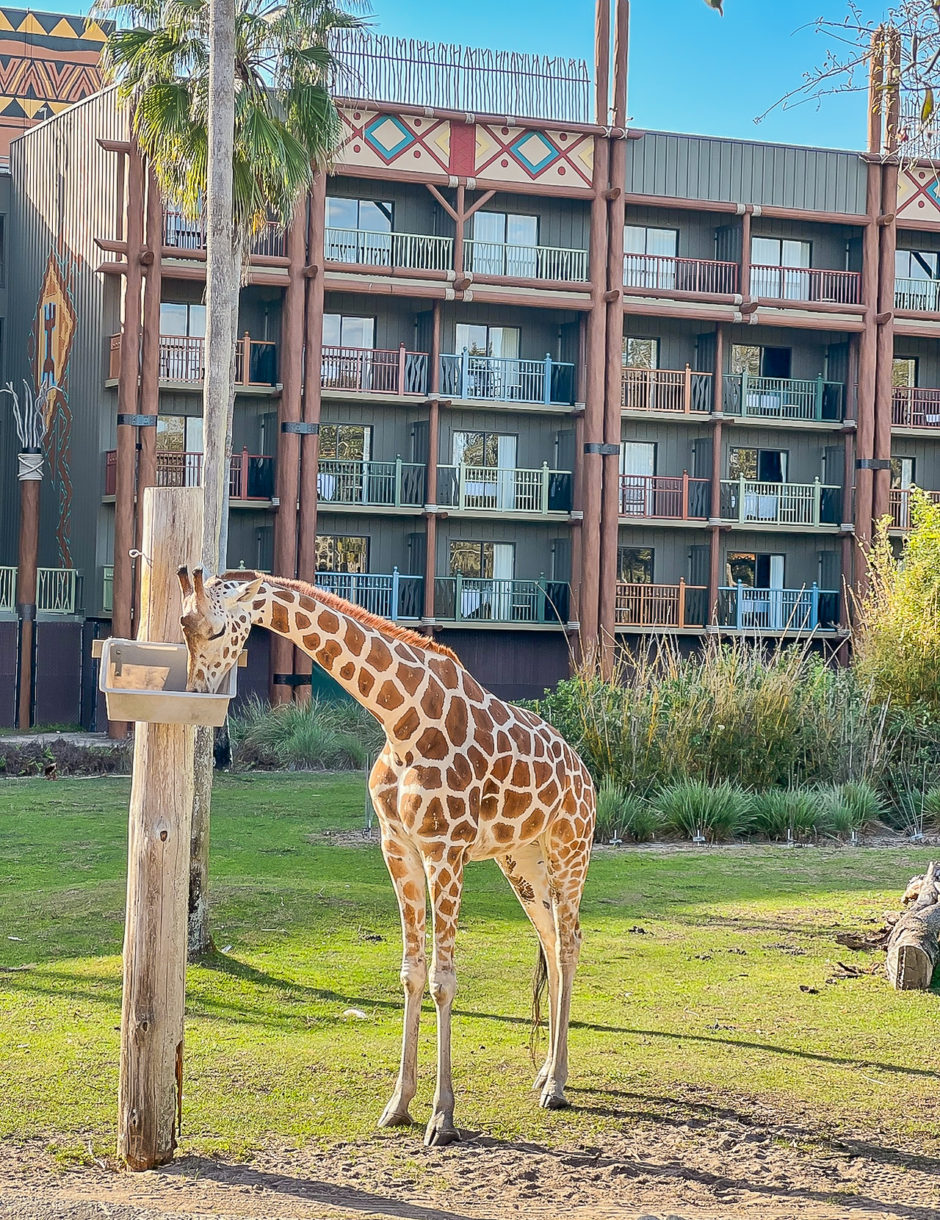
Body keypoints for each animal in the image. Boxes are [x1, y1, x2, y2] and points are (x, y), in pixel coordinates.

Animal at [177, 567, 596, 1146]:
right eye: (182, 626)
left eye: (217, 630)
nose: (197, 696)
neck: (402, 722)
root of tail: (586, 774)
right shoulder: (398, 847)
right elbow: (411, 974)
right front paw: (398, 1104)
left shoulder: (446, 849)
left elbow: (443, 980)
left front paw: (443, 1118)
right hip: (522, 861)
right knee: (552, 942)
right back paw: (545, 1073)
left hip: (568, 849)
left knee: (571, 943)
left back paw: (556, 1086)